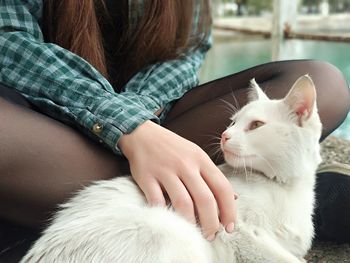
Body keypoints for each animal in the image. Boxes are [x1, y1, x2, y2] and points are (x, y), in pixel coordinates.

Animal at [21, 75, 322, 263]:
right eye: (233, 122)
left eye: (256, 125)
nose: (225, 135)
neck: (285, 188)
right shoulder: (234, 228)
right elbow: (283, 257)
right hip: (168, 227)